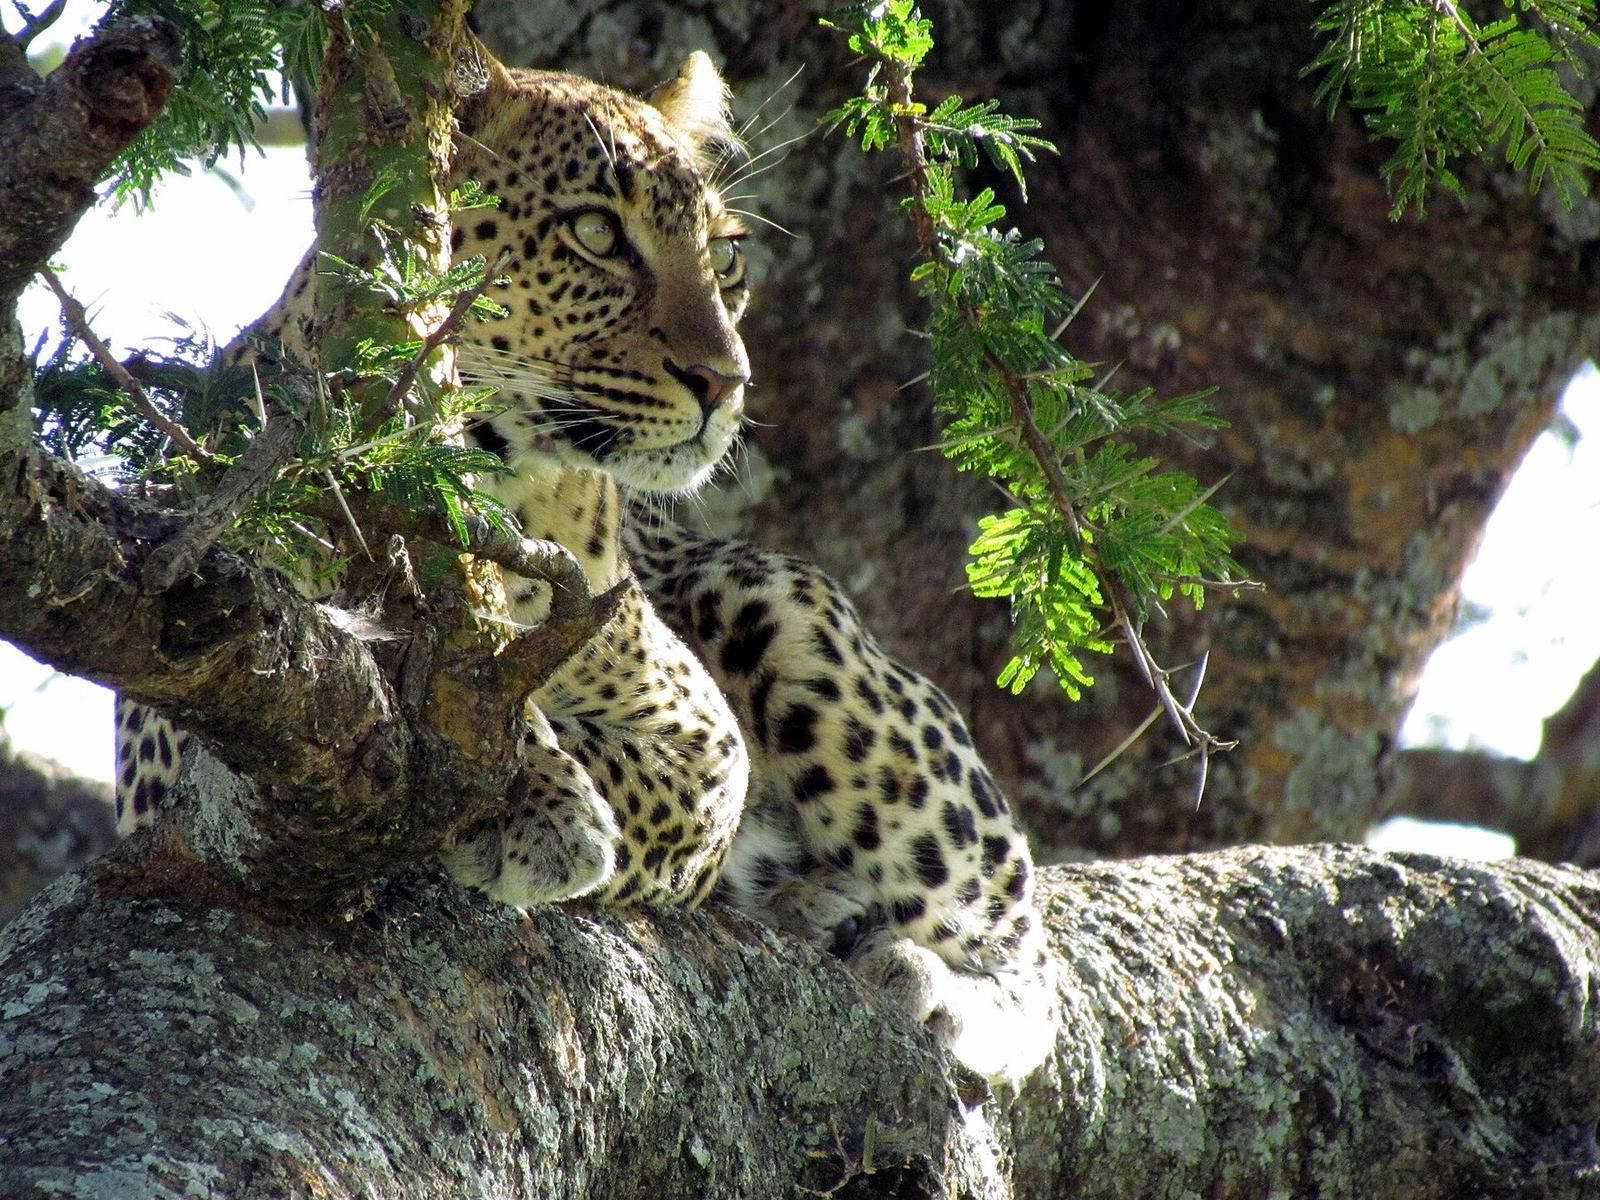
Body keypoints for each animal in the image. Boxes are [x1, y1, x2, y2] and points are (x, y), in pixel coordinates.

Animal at [115, 43, 1058, 1082]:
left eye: (725, 255)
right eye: (597, 233)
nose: (727, 382)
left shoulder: (706, 737)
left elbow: (602, 752)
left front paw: (536, 800)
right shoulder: (192, 675)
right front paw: (535, 791)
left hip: (794, 622)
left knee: (1024, 945)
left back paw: (920, 976)